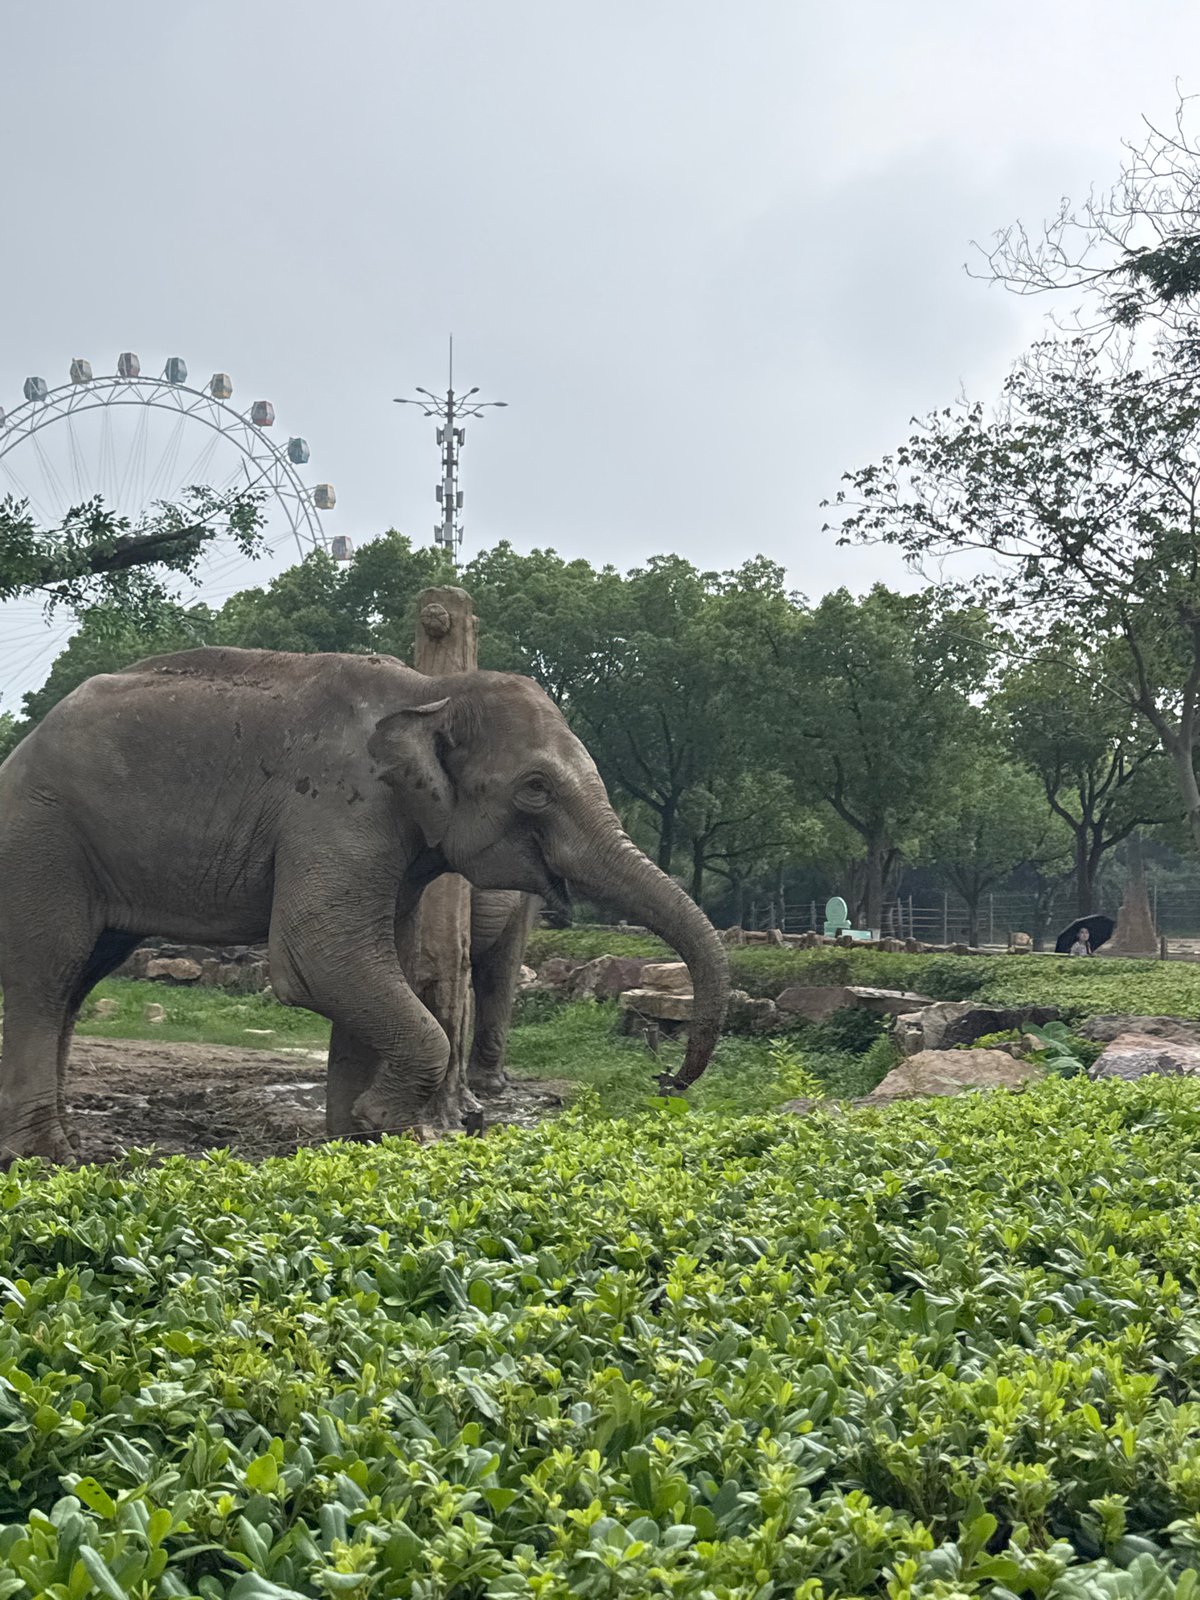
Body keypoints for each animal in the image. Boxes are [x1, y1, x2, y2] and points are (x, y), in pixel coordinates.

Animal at [0, 647, 728, 1163]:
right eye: (536, 788)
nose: (666, 1079)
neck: (430, 692)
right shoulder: (338, 804)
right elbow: (320, 957)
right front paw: (394, 1126)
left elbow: (376, 964)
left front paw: (354, 1142)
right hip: (42, 838)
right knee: (50, 971)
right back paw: (47, 1157)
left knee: (80, 976)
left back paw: (68, 1145)